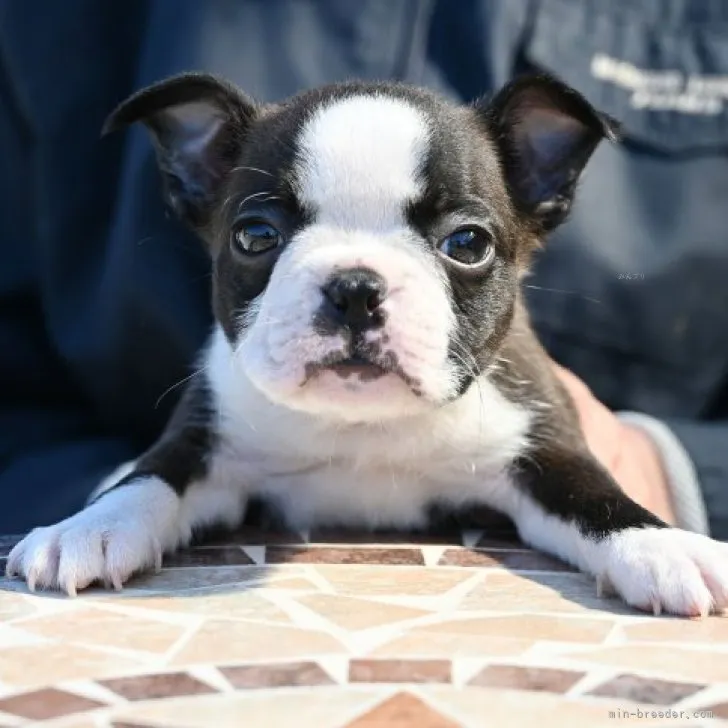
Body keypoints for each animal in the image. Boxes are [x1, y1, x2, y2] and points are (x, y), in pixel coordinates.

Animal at [7, 71, 728, 616]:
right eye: (255, 236)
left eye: (468, 243)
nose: (355, 287)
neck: (365, 427)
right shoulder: (207, 434)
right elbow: (151, 475)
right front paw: (89, 527)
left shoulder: (539, 444)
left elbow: (596, 495)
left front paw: (665, 547)